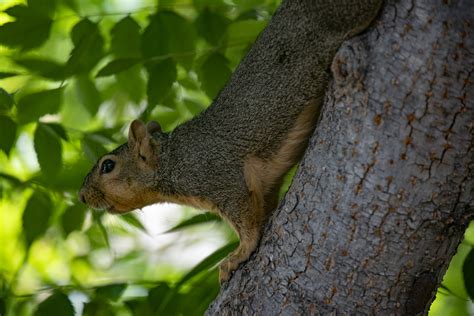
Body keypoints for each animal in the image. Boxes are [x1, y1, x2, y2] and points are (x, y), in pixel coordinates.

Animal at [78, 1, 382, 282]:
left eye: (108, 166)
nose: (82, 196)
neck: (173, 160)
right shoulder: (262, 187)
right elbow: (262, 209)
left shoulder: (221, 178)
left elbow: (246, 225)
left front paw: (237, 256)